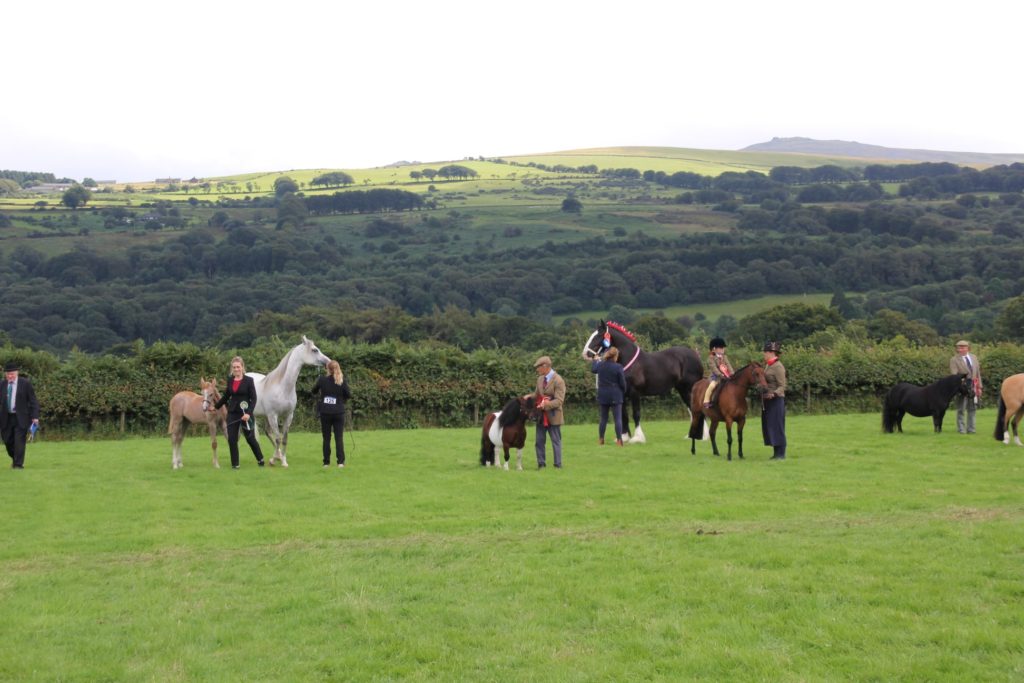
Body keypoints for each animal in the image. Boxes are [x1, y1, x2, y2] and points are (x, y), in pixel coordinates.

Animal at [247, 335, 331, 467]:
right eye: (314, 350)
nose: (329, 361)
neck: (282, 387)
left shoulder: (288, 416)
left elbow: (284, 439)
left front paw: (283, 461)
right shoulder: (273, 416)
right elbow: (278, 438)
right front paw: (274, 460)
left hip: (264, 416)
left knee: (267, 432)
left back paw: (278, 456)